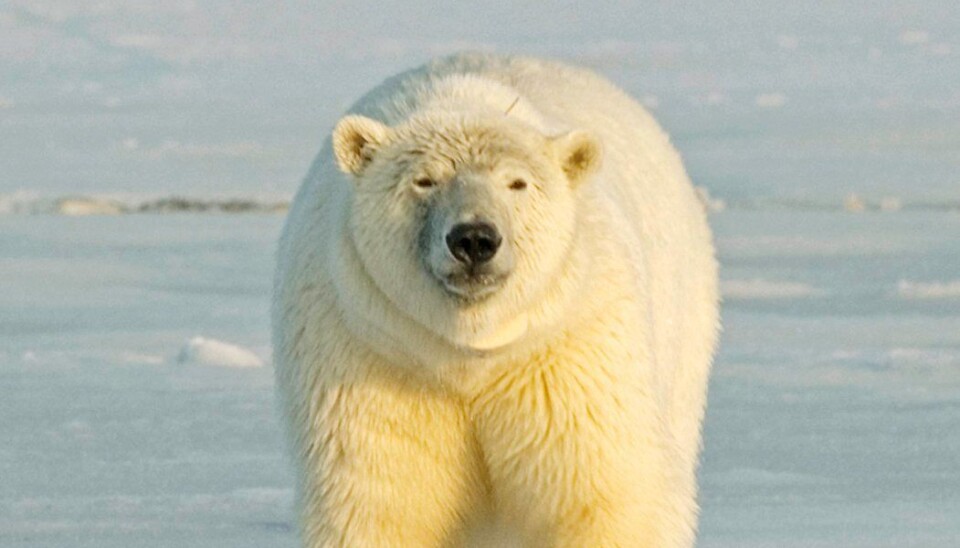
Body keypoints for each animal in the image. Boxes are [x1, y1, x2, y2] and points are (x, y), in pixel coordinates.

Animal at [273, 52, 719, 547]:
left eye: (517, 183)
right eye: (424, 181)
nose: (473, 239)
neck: (469, 351)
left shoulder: (568, 356)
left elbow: (602, 498)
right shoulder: (372, 359)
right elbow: (384, 502)